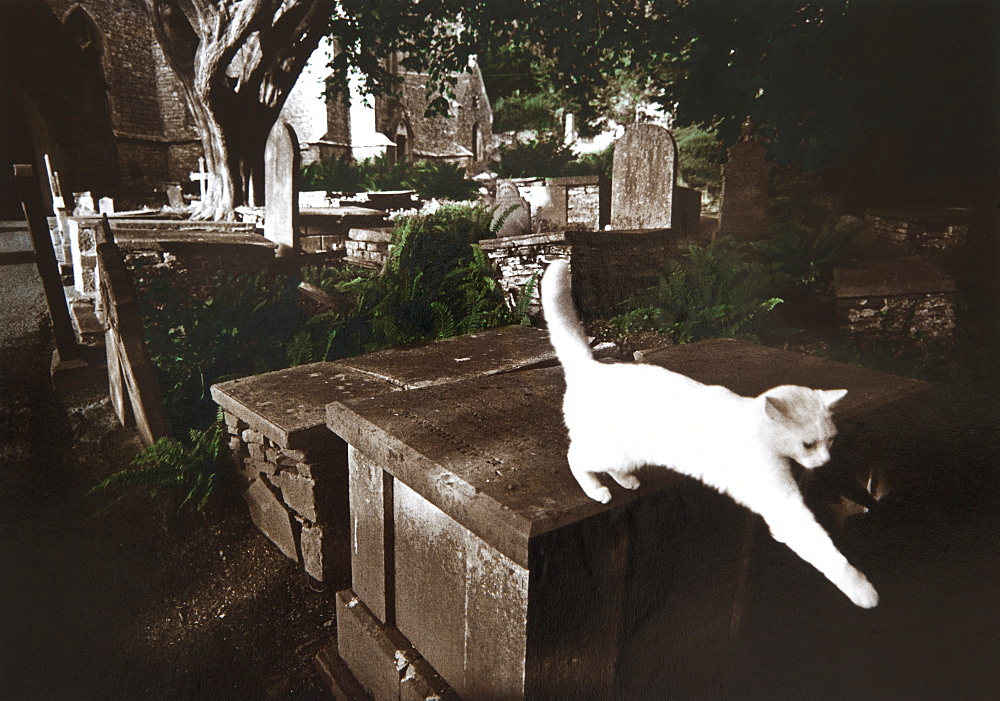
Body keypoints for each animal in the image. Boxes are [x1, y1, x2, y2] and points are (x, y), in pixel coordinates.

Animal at [544, 258, 880, 608]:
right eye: (809, 444)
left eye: (831, 440)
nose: (826, 462)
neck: (757, 430)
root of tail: (591, 367)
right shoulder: (784, 506)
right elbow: (828, 554)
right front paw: (863, 591)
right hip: (612, 450)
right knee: (575, 458)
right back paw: (596, 490)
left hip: (626, 455)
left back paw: (626, 481)